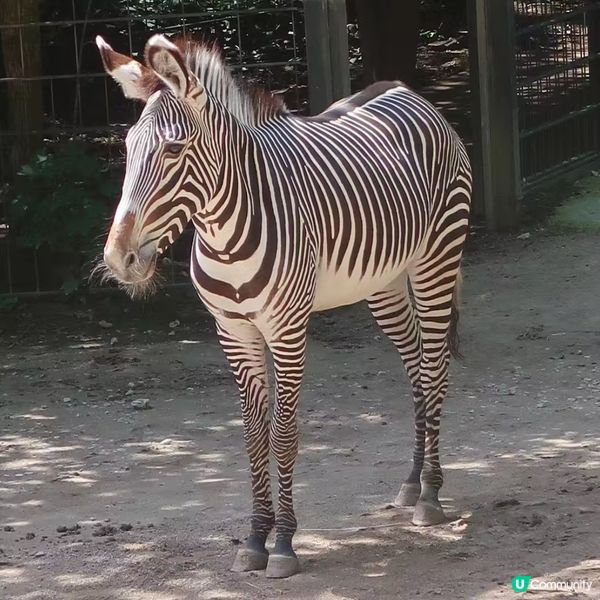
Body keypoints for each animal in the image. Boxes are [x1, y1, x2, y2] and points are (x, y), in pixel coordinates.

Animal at [96, 35, 472, 580]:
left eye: (173, 149)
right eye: (126, 149)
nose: (117, 259)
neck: (224, 233)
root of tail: (405, 89)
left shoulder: (287, 329)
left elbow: (285, 433)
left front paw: (285, 544)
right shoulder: (233, 331)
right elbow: (254, 436)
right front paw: (255, 538)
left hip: (436, 259)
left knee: (435, 366)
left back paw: (430, 495)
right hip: (382, 283)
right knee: (416, 367)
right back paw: (411, 481)